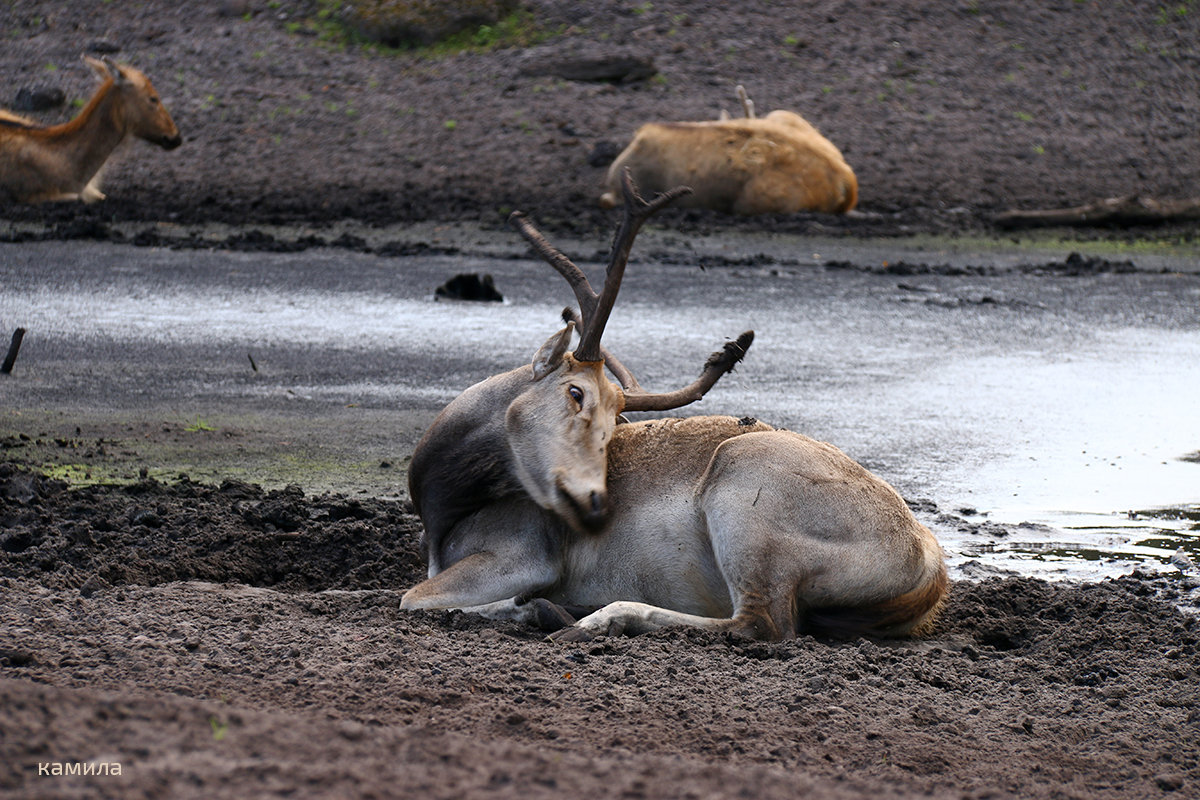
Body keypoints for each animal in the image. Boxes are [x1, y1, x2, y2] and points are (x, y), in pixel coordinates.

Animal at [403, 175, 945, 642]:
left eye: (613, 417)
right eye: (577, 393)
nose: (595, 504)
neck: (443, 500)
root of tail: (928, 563)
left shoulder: (525, 554)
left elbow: (411, 599)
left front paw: (538, 608)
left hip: (744, 499)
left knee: (763, 623)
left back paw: (601, 618)